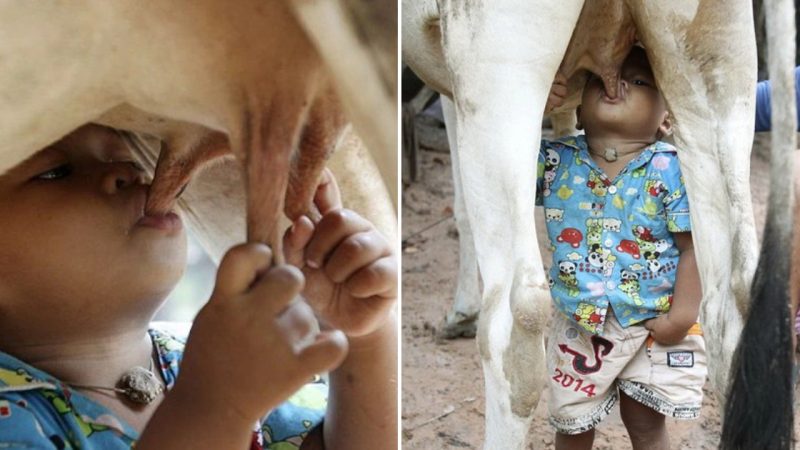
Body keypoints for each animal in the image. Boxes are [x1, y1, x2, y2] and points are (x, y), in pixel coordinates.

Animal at [404, 0, 760, 448]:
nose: (620, 86)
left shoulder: (452, 83)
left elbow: (462, 206)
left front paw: (460, 313)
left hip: (495, 72)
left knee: (516, 321)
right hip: (719, 68)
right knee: (732, 303)